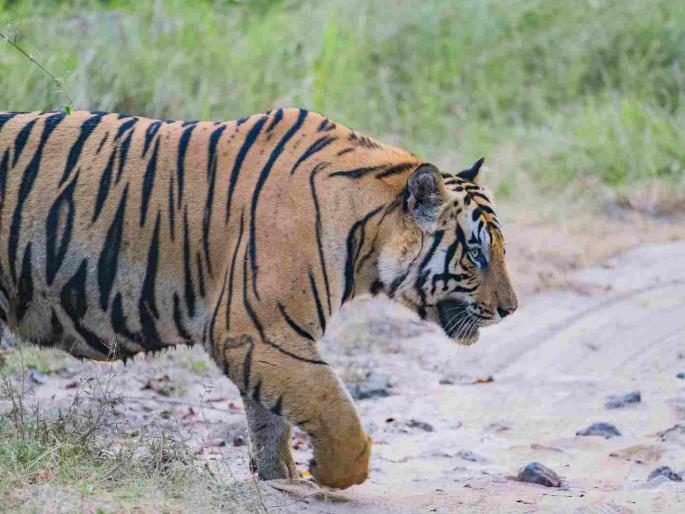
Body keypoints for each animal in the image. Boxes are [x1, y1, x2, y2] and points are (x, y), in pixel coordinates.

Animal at [0, 108, 517, 488]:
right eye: (475, 254)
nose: (511, 309)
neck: (366, 233)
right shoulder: (257, 328)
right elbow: (330, 403)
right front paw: (331, 473)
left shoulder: (261, 333)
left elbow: (269, 413)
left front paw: (279, 474)